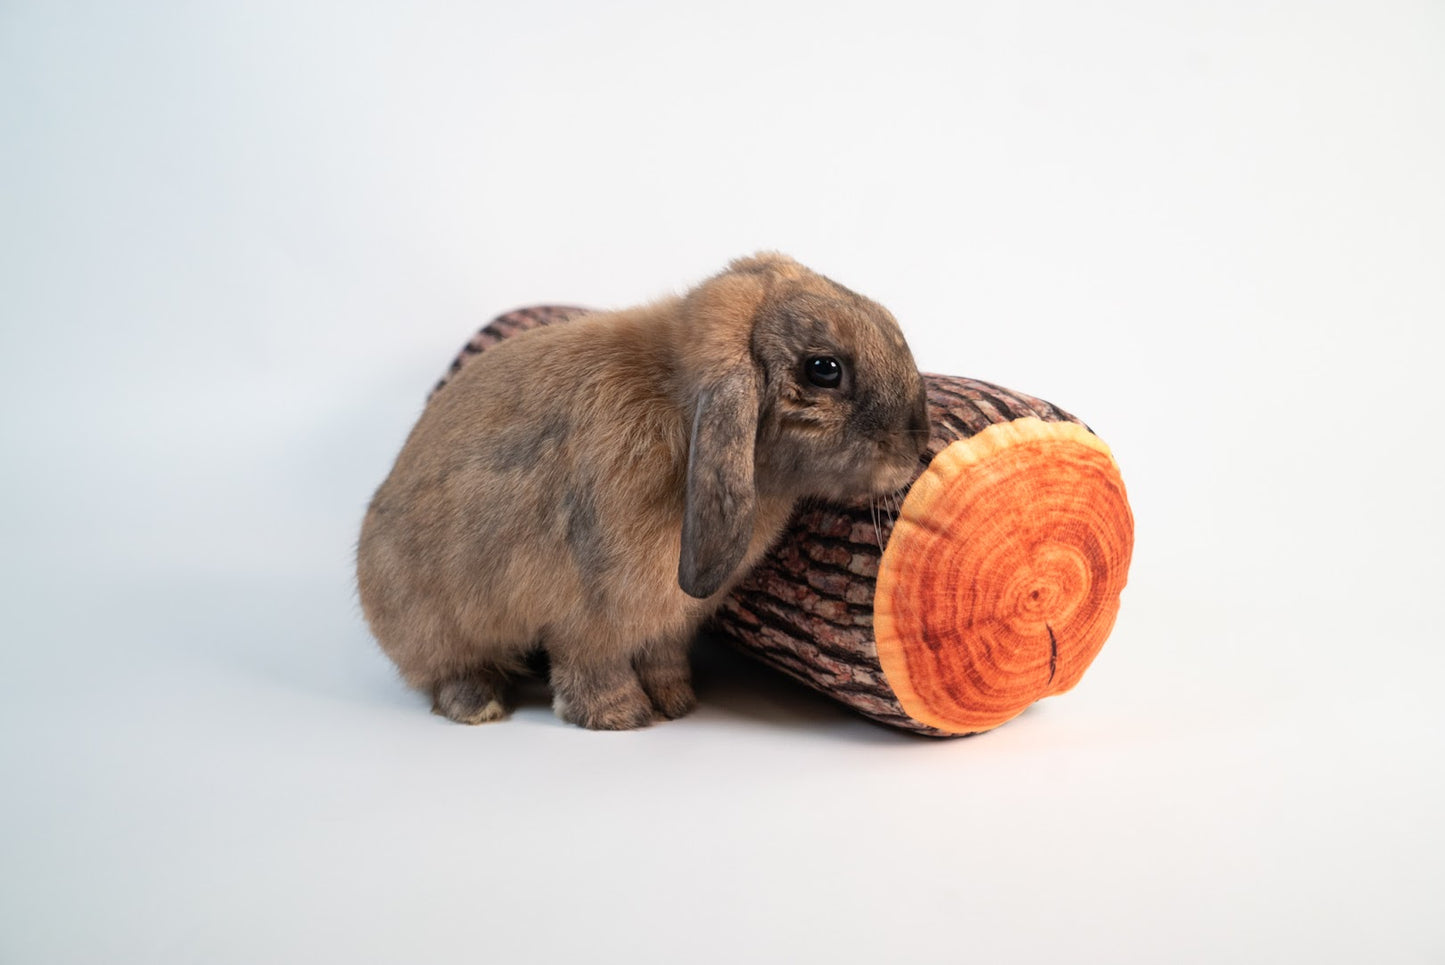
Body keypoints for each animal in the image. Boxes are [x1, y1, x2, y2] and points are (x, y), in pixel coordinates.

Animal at [355, 252, 930, 728]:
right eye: (824, 369)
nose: (917, 442)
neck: (677, 406)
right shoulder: (590, 616)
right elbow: (596, 668)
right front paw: (622, 717)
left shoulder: (668, 624)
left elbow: (663, 659)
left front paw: (676, 704)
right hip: (438, 627)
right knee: (448, 671)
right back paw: (480, 706)